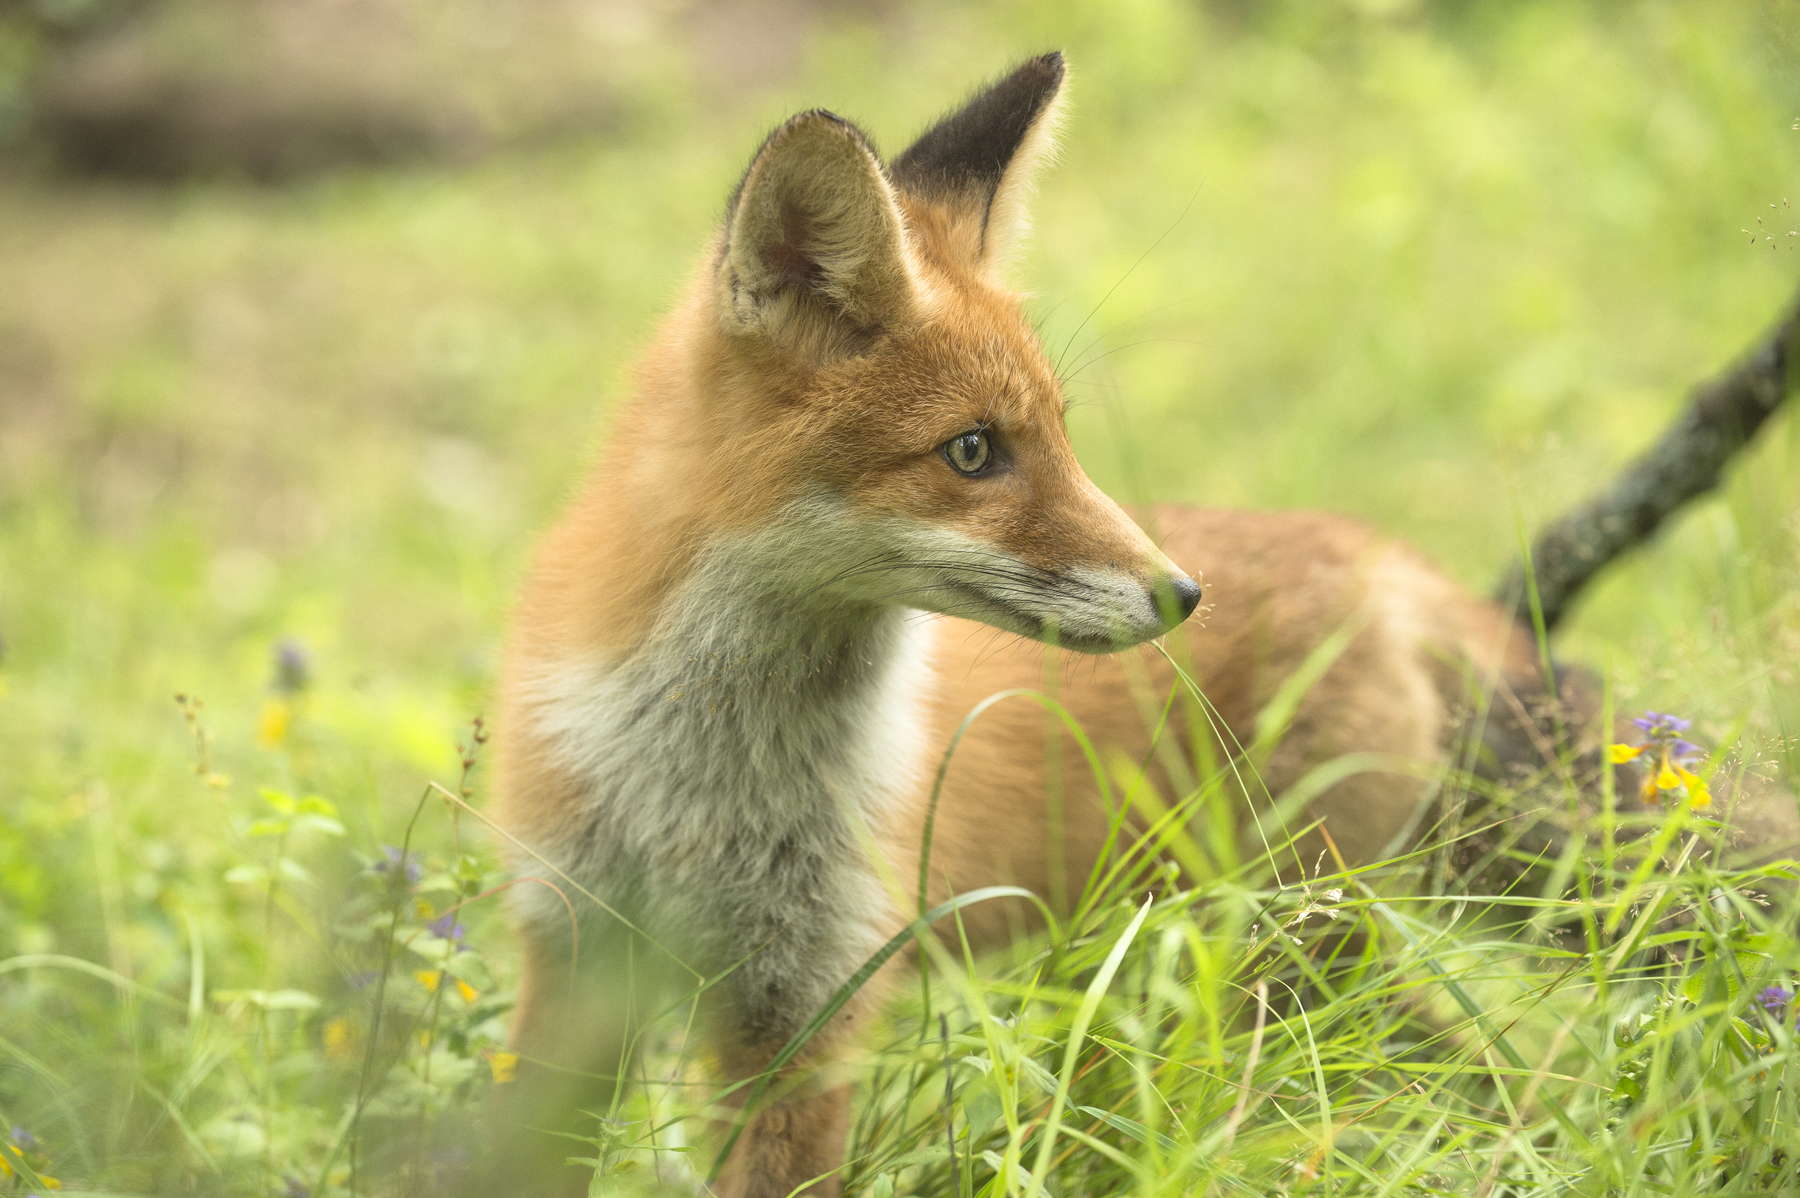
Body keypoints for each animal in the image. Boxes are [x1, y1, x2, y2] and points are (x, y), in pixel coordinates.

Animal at [478, 51, 1800, 1187]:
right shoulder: (575, 956)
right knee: (1496, 1089)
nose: (1180, 594)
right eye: (974, 451)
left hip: (1289, 961)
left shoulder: (808, 997)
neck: (703, 781)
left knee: (1498, 1093)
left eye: (1063, 435)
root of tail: (1376, 556)